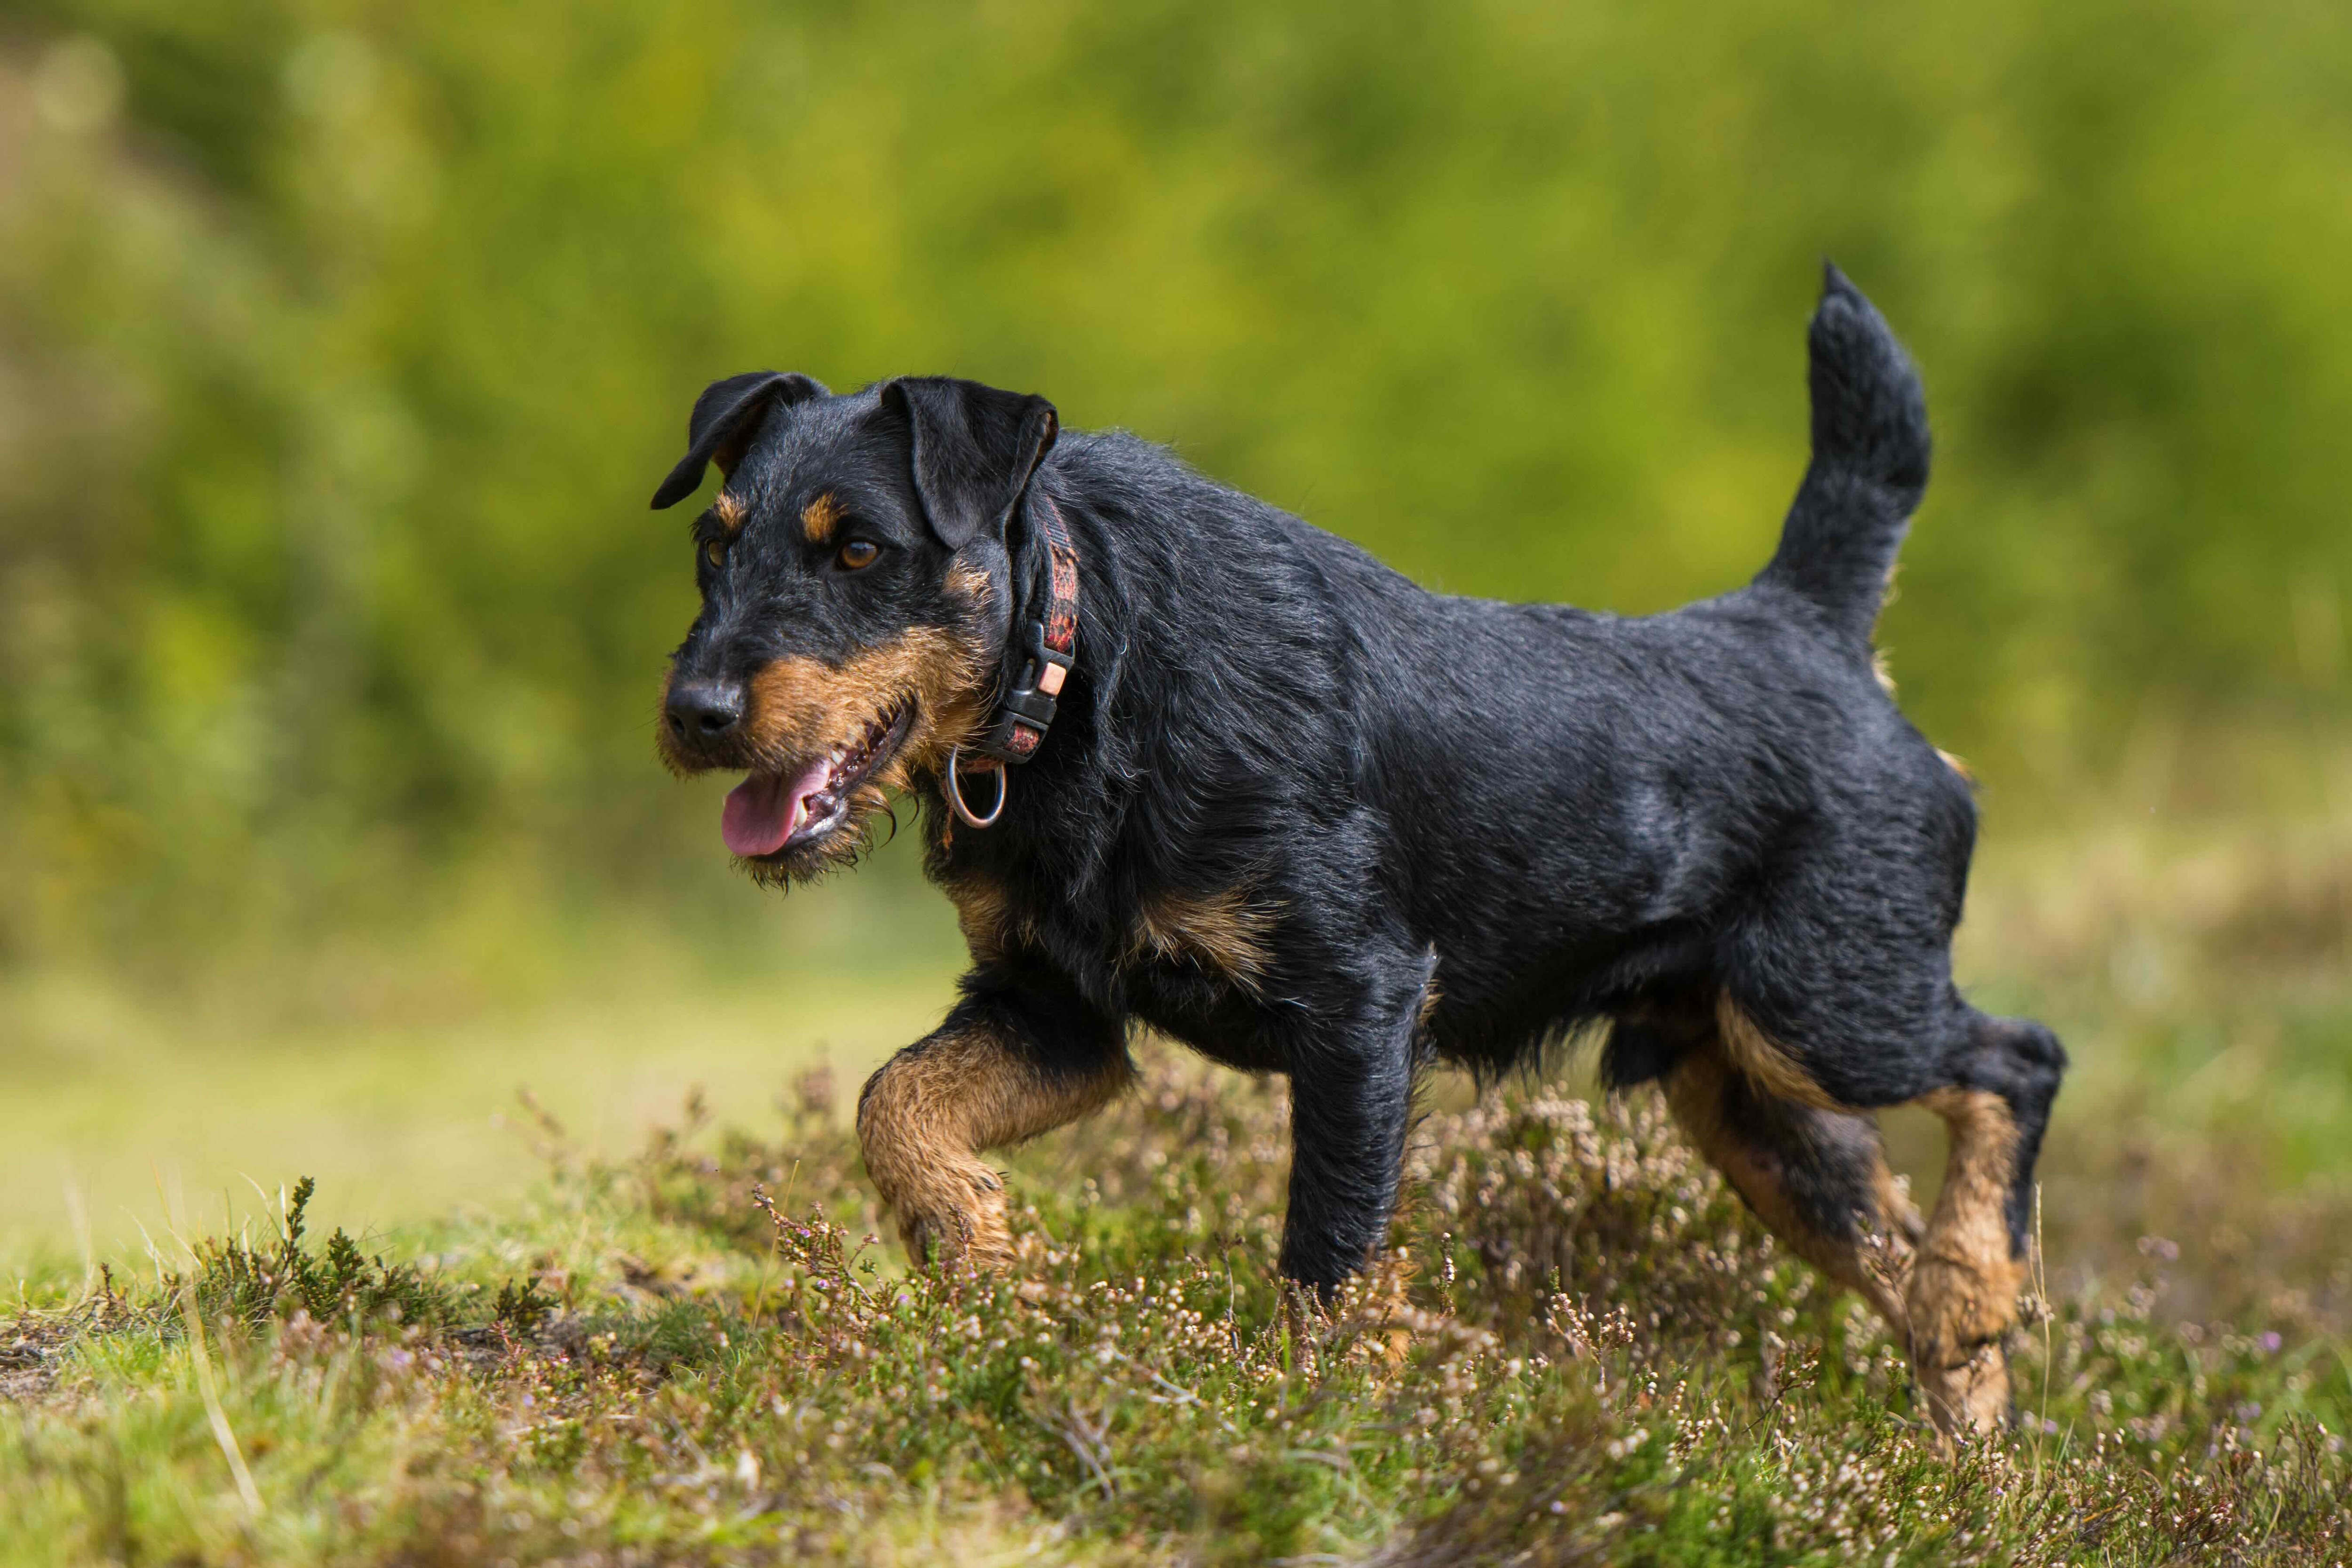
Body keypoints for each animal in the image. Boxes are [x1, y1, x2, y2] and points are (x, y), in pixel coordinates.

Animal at [649, 267, 2060, 1439]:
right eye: (713, 544)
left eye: (858, 546)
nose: (696, 712)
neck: (1084, 671)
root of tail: (1810, 623)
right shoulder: (1056, 1010)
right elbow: (897, 1101)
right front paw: (980, 1257)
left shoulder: (1357, 1006)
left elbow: (1328, 1252)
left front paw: (1311, 1428)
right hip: (1747, 1097)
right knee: (1887, 1227)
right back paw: (1963, 1413)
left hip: (1829, 1007)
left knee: (2018, 1059)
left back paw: (1970, 1291)